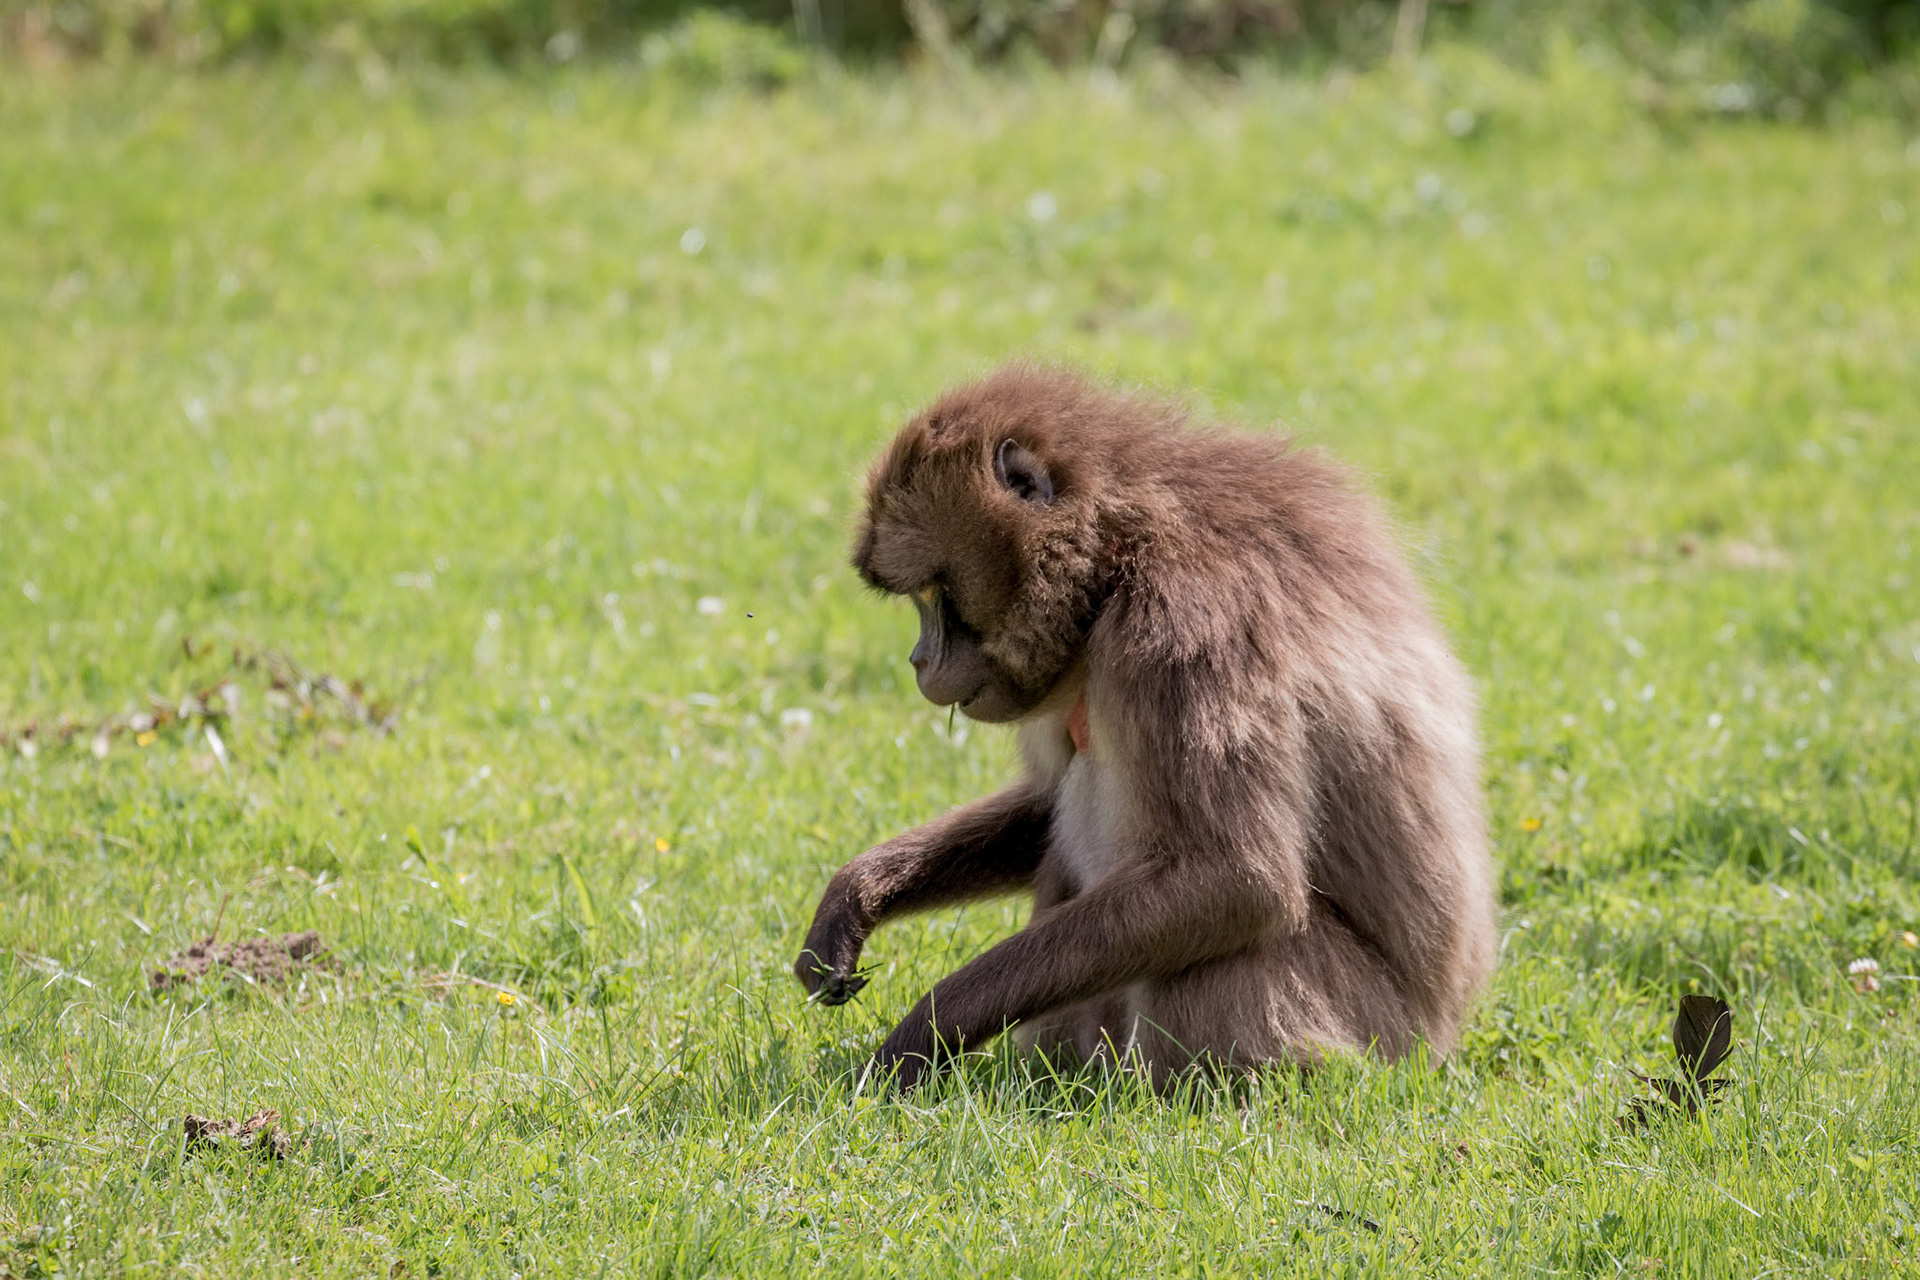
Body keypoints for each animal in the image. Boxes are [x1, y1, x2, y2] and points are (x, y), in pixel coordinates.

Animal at [794, 364, 1496, 1091]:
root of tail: (1439, 1038)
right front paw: (854, 898)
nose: (918, 661)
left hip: (1373, 1028)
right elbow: (1046, 804)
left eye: (934, 596)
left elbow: (1236, 880)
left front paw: (925, 1032)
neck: (1118, 544)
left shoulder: (1186, 627)